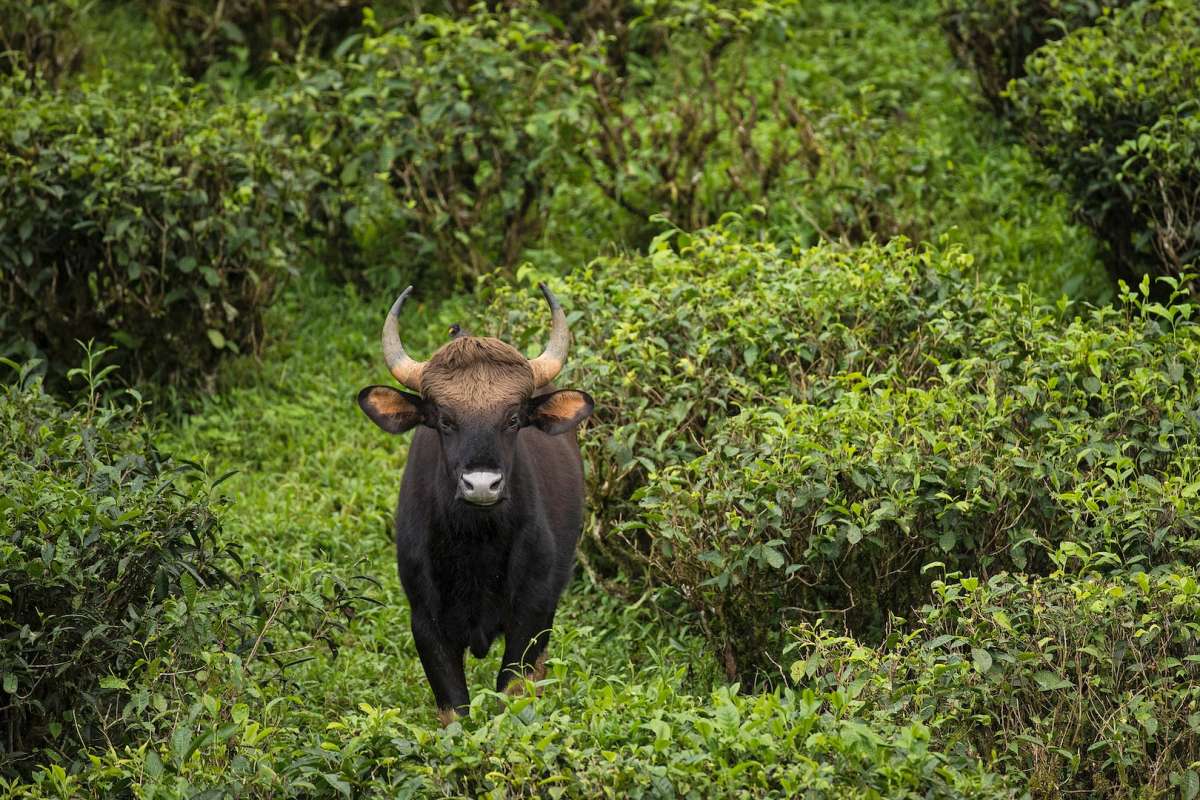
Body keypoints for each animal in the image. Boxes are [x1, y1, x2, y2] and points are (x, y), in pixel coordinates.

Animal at [357, 283, 597, 724]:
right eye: (444, 419)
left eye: (514, 418)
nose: (481, 485)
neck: (476, 547)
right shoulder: (425, 620)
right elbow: (455, 709)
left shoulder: (534, 611)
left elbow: (514, 695)